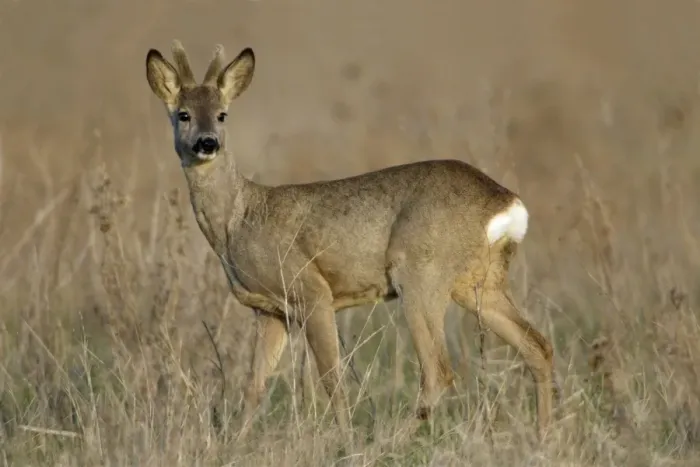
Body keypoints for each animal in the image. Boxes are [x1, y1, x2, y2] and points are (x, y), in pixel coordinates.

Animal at [145, 40, 556, 442]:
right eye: (183, 114)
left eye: (222, 114)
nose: (207, 143)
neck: (238, 219)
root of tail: (506, 202)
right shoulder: (271, 310)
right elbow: (255, 386)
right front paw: (235, 444)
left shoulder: (310, 289)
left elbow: (332, 380)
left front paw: (345, 441)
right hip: (478, 282)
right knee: (538, 345)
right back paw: (541, 438)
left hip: (421, 273)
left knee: (439, 371)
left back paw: (388, 442)